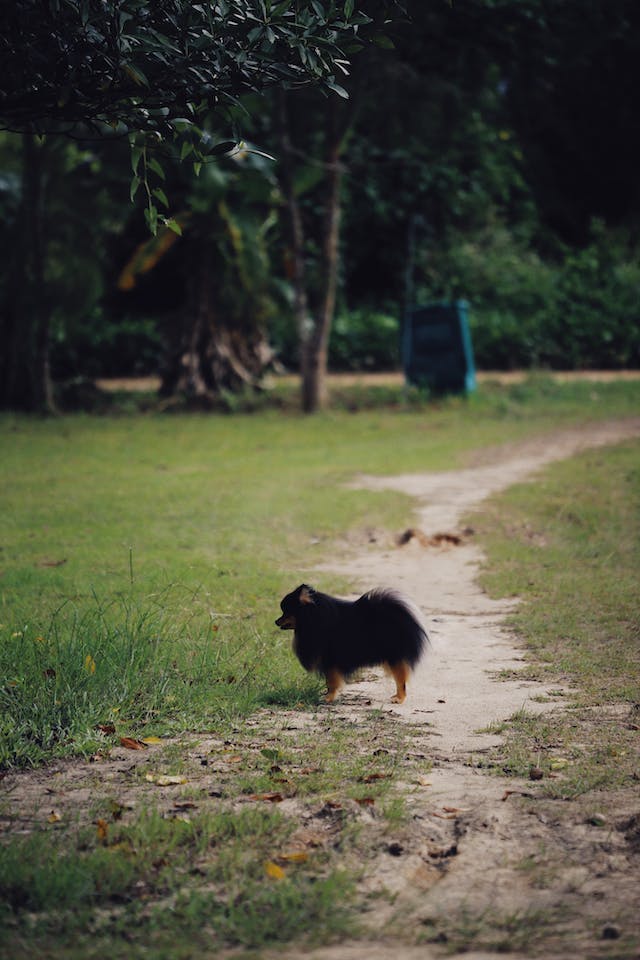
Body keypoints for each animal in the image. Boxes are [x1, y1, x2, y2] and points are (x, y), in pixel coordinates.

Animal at [274, 580, 428, 700]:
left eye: (286, 612)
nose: (276, 621)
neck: (314, 617)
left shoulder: (330, 660)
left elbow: (331, 682)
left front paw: (328, 697)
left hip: (393, 656)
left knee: (400, 678)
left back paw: (399, 698)